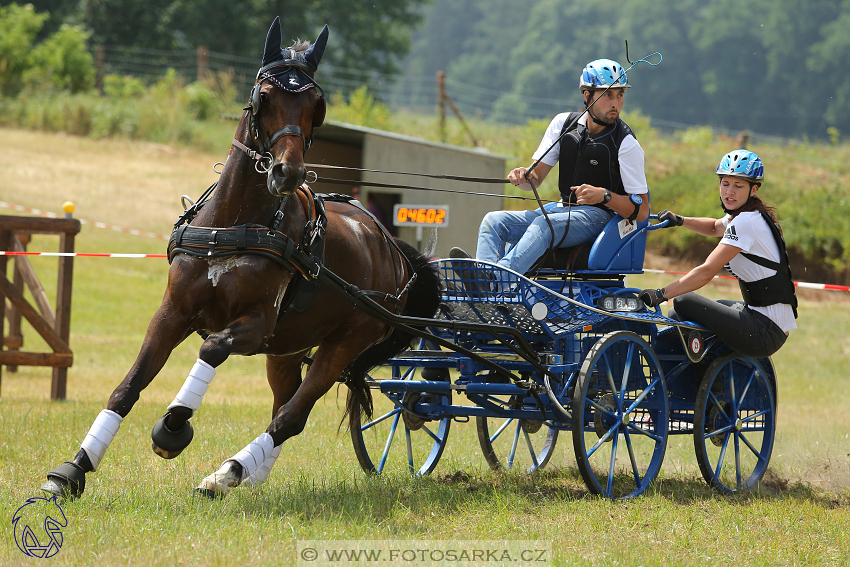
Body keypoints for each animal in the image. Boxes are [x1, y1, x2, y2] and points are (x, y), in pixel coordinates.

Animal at [40, 15, 440, 500]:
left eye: (316, 105)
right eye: (264, 97)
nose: (288, 172)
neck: (232, 226)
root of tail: (395, 252)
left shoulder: (254, 326)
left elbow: (212, 348)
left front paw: (174, 426)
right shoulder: (173, 312)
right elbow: (127, 387)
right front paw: (73, 469)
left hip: (343, 343)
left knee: (292, 416)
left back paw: (226, 473)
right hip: (287, 348)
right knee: (282, 408)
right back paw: (249, 474)